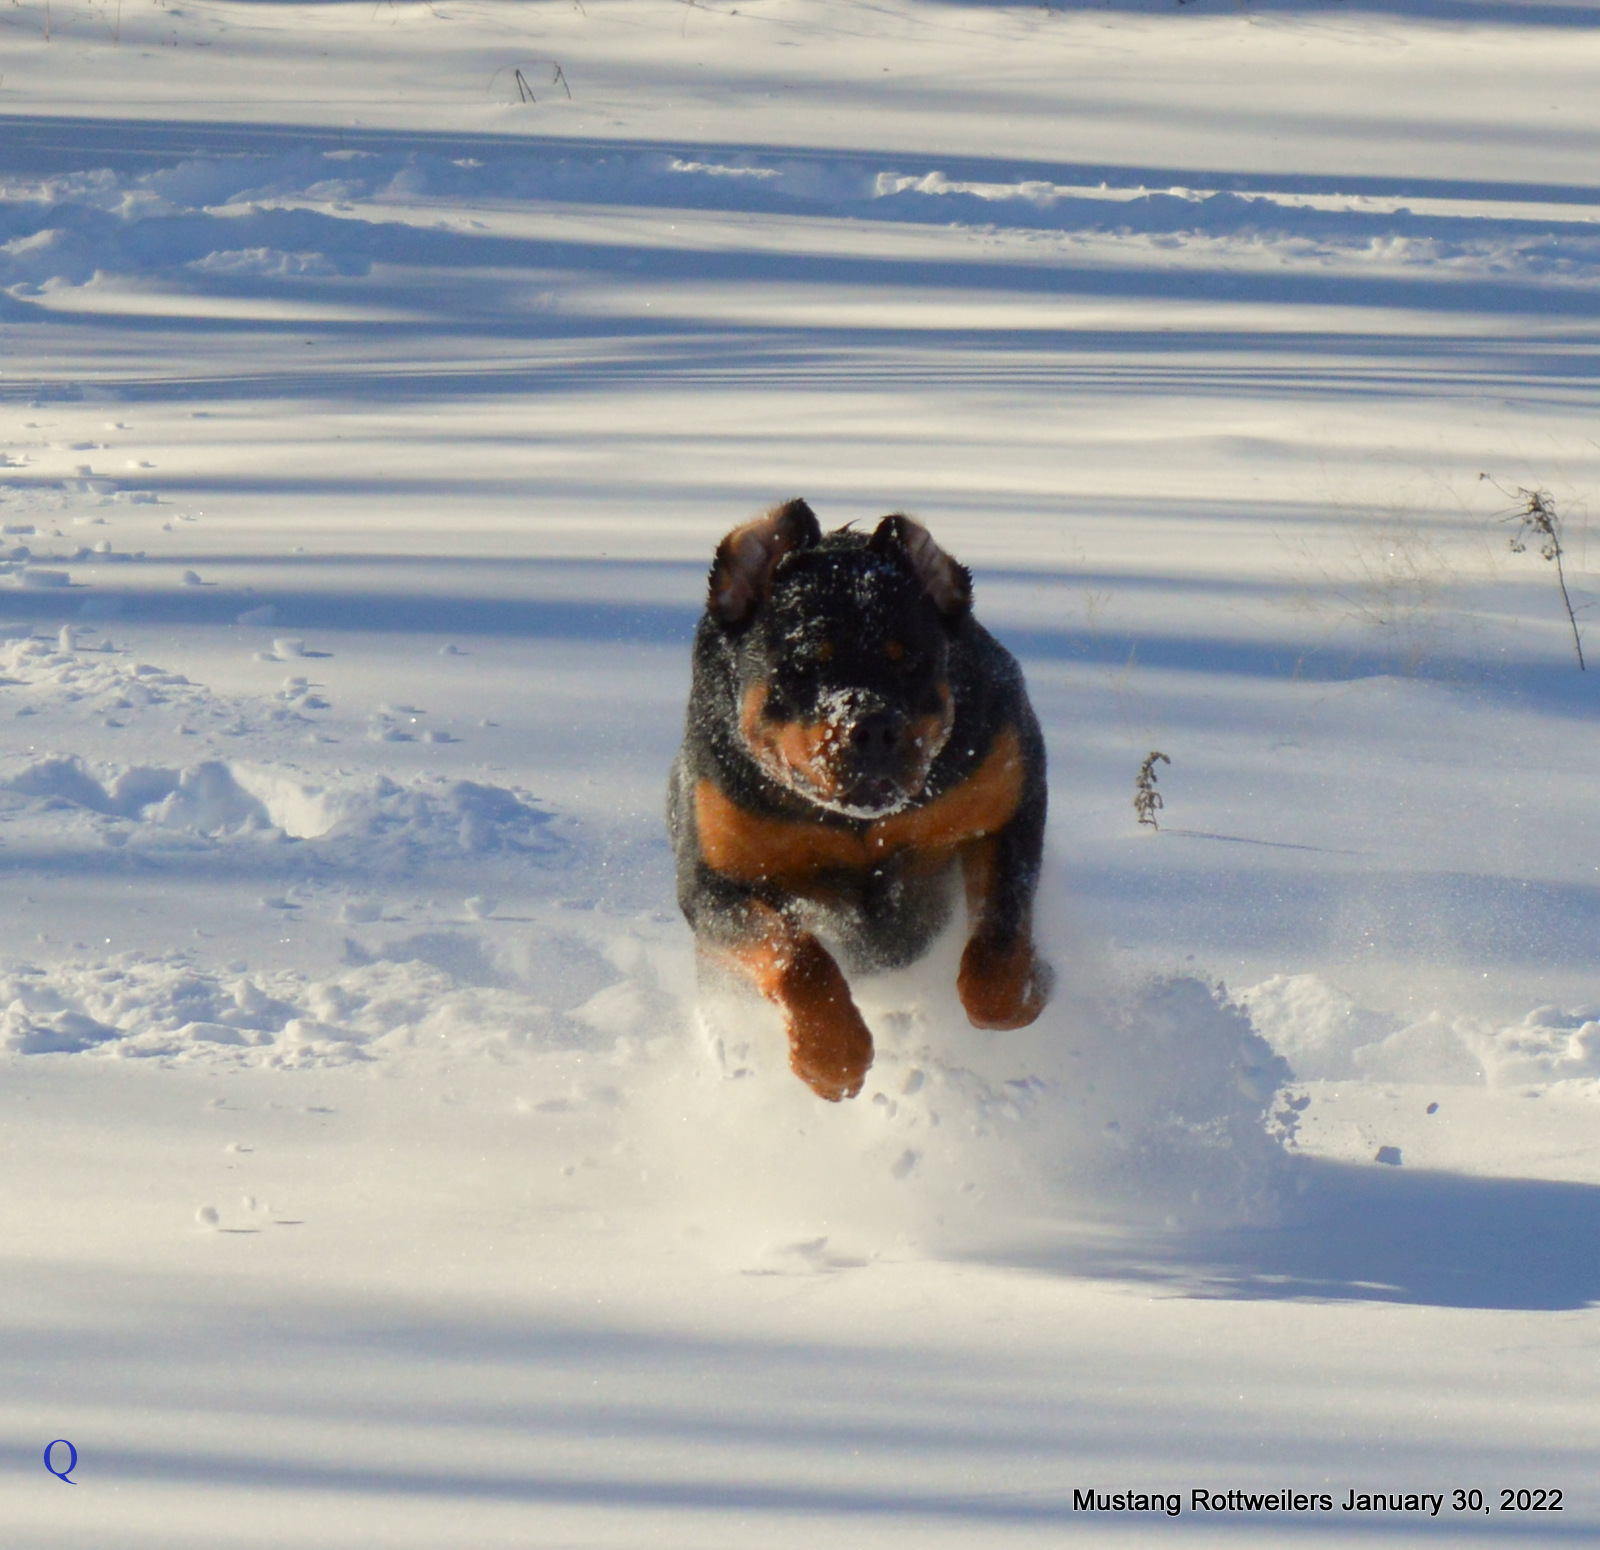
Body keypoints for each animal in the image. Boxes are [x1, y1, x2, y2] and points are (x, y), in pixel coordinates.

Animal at [668, 499, 1051, 1101]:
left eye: (912, 661)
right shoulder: (713, 881)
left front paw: (1032, 988)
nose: (871, 723)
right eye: (802, 665)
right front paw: (832, 1054)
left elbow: (999, 943)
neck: (857, 824)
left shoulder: (1005, 800)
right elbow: (794, 953)